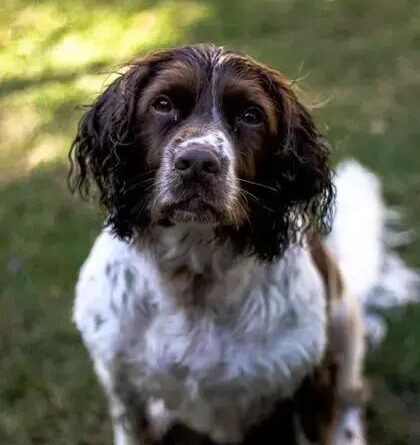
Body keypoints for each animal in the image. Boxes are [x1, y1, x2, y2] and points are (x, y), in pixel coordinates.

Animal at [70, 43, 378, 442]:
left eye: (251, 115)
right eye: (162, 104)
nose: (198, 162)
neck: (194, 271)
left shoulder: (311, 380)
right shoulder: (119, 379)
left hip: (344, 330)